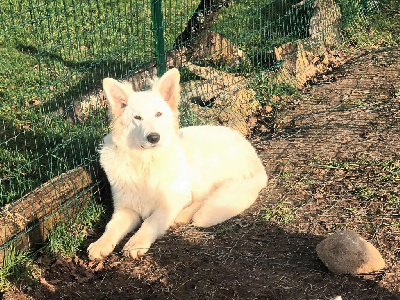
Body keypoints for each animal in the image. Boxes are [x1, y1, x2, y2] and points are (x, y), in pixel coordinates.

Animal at [88, 68, 268, 260]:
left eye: (158, 114)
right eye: (137, 117)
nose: (154, 137)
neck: (145, 163)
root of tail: (254, 156)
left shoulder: (171, 202)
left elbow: (151, 221)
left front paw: (137, 242)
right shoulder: (125, 208)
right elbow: (111, 227)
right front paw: (101, 244)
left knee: (209, 196)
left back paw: (183, 215)